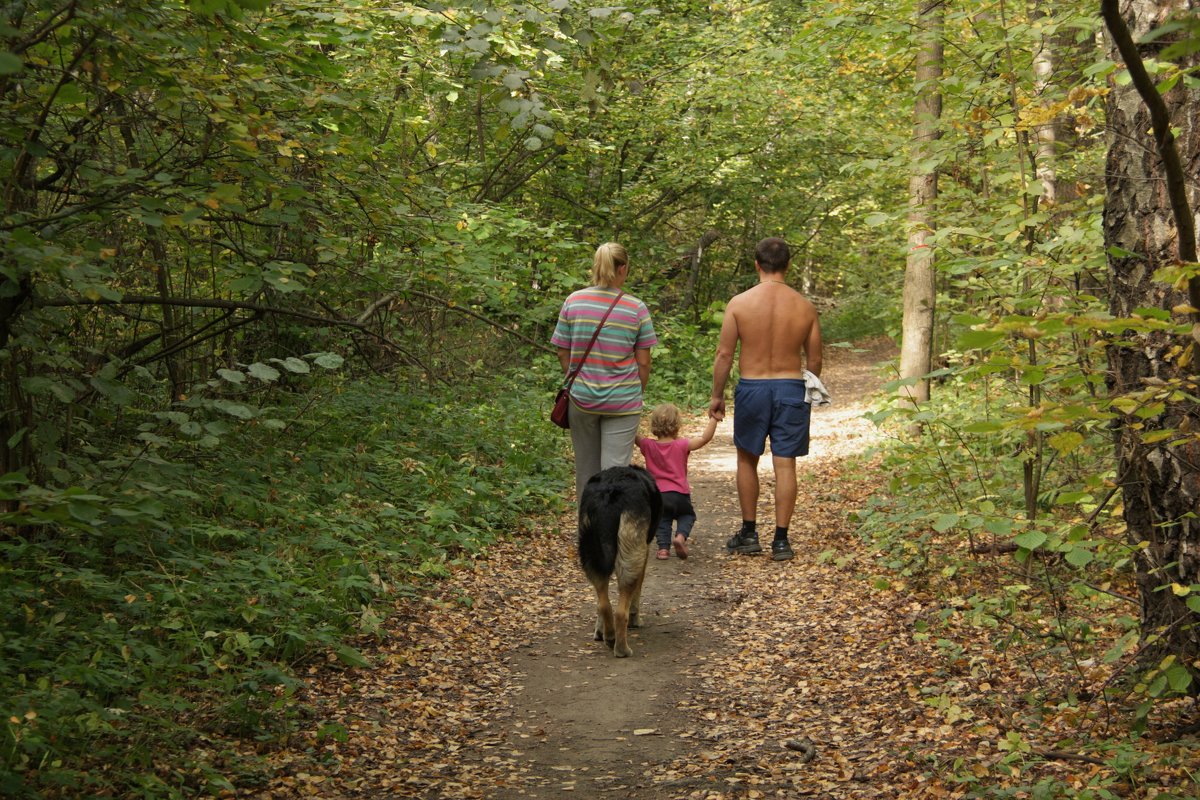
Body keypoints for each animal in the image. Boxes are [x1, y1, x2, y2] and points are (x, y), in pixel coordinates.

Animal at [576, 465, 662, 662]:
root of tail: (608, 492)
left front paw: (598, 630)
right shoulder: (644, 552)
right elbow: (637, 594)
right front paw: (635, 619)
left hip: (589, 550)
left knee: (604, 604)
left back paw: (608, 636)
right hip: (631, 556)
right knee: (620, 611)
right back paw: (622, 648)